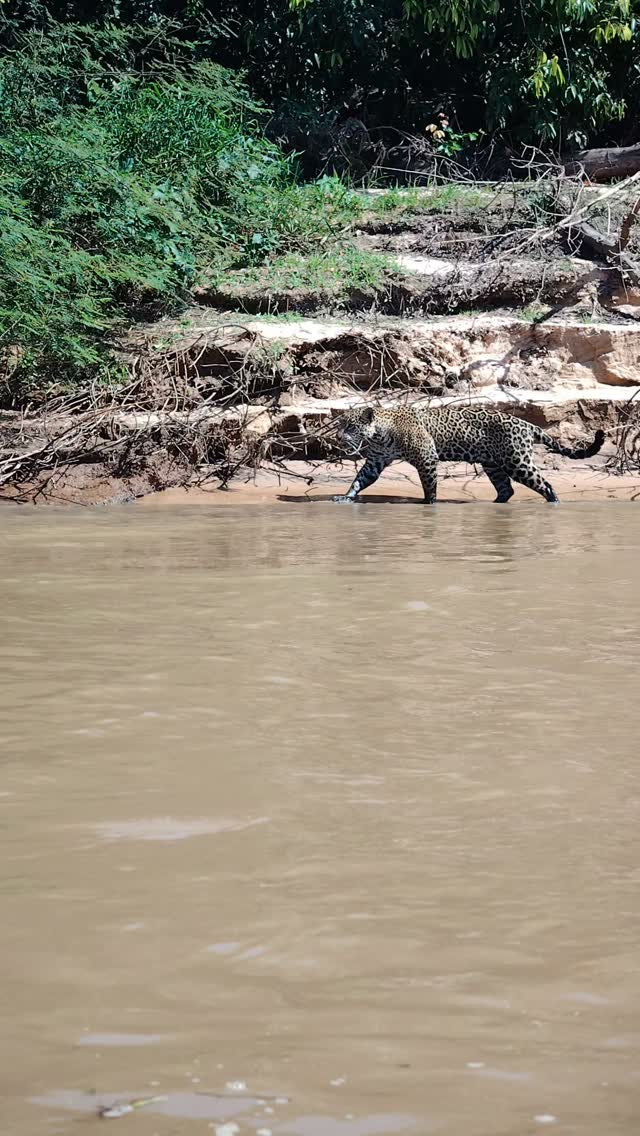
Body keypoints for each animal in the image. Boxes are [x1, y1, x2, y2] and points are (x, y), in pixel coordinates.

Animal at [332, 403, 605, 504]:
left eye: (351, 427)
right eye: (340, 425)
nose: (338, 437)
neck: (380, 433)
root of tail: (528, 424)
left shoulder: (426, 458)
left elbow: (429, 484)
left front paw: (428, 504)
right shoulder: (376, 461)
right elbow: (359, 480)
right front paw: (346, 497)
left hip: (517, 461)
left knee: (544, 484)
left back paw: (554, 502)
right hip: (493, 464)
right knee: (506, 489)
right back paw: (495, 505)